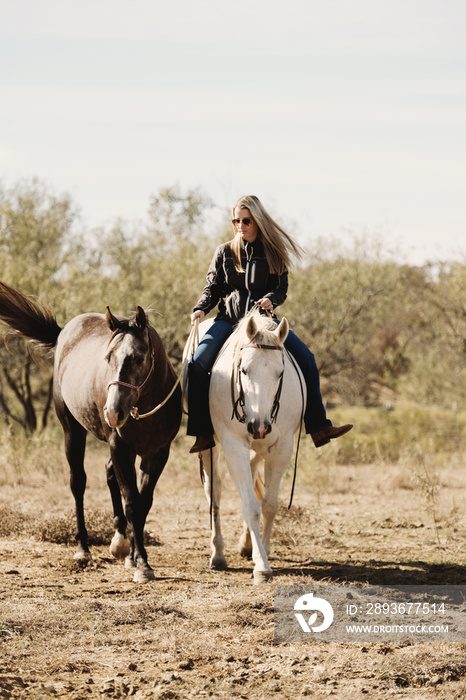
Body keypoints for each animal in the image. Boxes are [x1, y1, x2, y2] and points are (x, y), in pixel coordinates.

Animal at [0, 282, 180, 584]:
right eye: (108, 357)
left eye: (138, 358)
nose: (113, 412)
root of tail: (64, 332)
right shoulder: (121, 448)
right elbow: (132, 502)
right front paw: (142, 563)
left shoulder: (157, 454)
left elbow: (143, 503)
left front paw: (135, 556)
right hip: (72, 431)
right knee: (78, 483)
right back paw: (83, 549)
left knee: (108, 475)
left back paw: (120, 543)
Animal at [186, 308, 306, 584]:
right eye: (243, 370)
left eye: (280, 373)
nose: (259, 426)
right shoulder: (234, 445)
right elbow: (250, 506)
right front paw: (261, 566)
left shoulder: (282, 448)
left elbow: (270, 505)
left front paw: (263, 550)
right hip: (212, 447)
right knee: (214, 491)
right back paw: (218, 554)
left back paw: (247, 544)